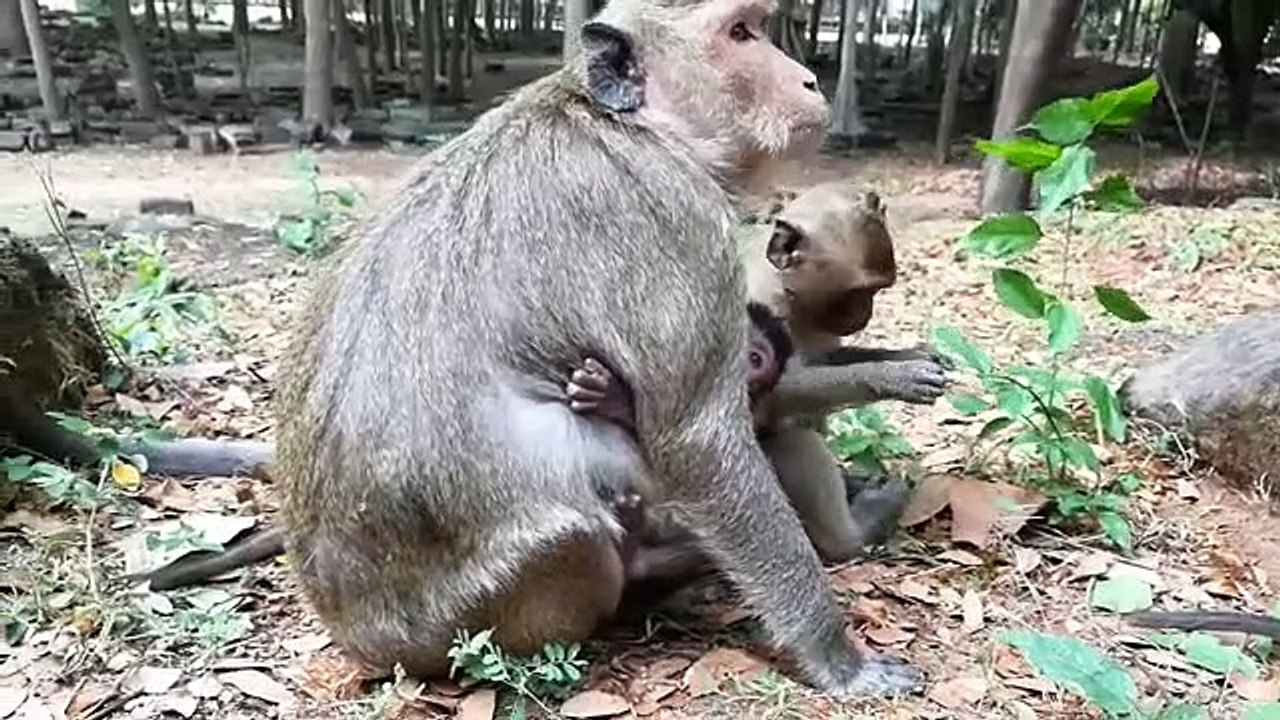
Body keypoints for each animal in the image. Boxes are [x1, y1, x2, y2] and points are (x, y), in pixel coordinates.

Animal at [271, 0, 923, 696]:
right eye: (741, 33)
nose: (807, 80)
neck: (630, 123)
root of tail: (364, 641)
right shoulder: (678, 219)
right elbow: (699, 439)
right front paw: (839, 660)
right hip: (486, 607)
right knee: (582, 535)